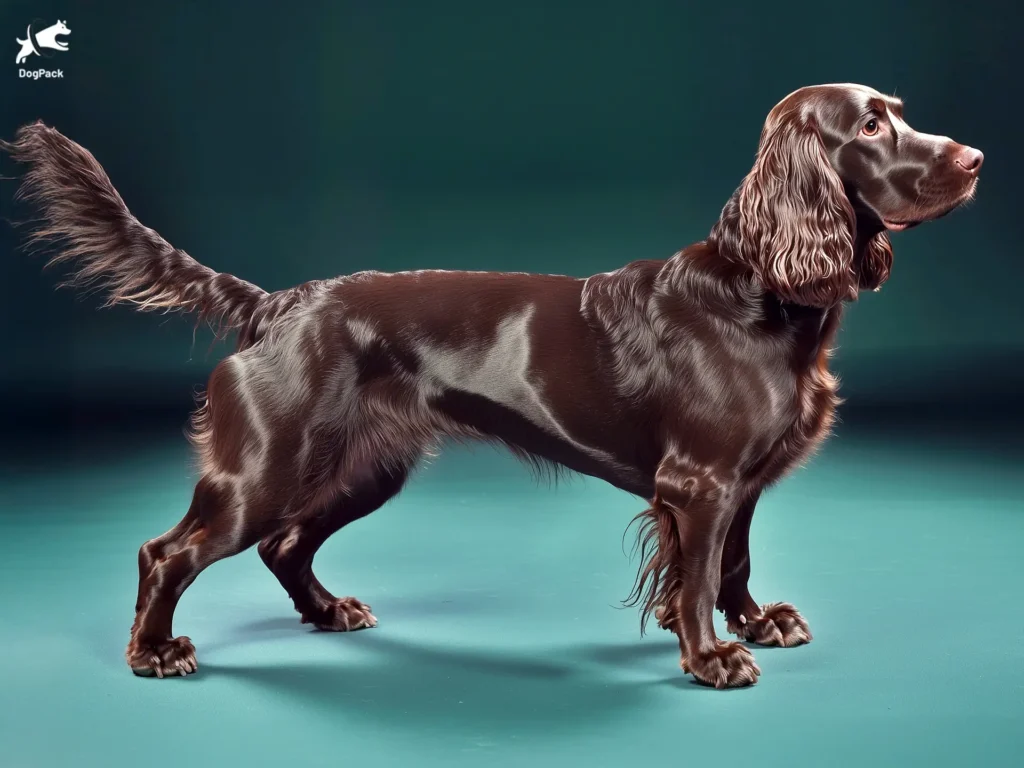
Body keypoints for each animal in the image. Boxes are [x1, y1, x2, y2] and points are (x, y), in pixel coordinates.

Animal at [6, 85, 983, 692]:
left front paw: (756, 622)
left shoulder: (738, 481)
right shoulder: (698, 483)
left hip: (364, 468)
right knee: (168, 551)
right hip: (266, 468)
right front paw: (711, 657)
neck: (763, 289)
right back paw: (153, 653)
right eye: (869, 128)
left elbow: (732, 561)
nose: (975, 157)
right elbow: (700, 571)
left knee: (284, 546)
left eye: (900, 115)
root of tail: (277, 303)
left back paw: (329, 611)